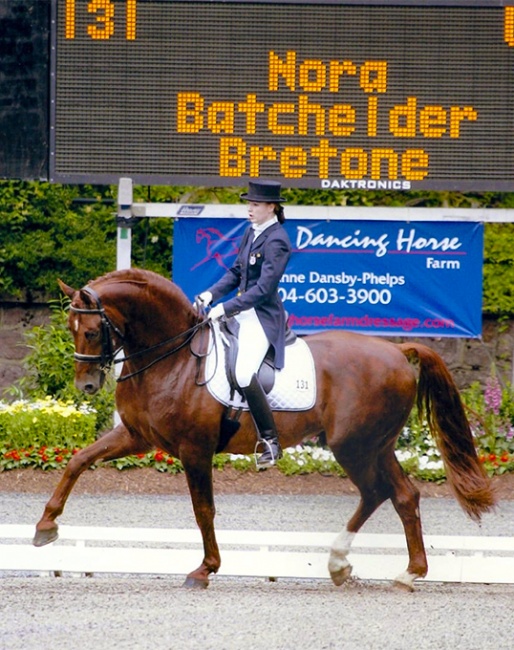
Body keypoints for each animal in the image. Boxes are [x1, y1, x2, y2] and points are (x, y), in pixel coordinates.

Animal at [31, 268, 492, 588]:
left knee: (377, 492)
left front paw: (205, 569)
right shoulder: (137, 436)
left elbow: (203, 510)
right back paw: (404, 573)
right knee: (403, 495)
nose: (87, 387)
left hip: (354, 446)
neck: (172, 357)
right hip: (377, 445)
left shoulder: (194, 449)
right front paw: (45, 527)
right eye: (71, 328)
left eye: (93, 331)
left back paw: (343, 562)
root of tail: (396, 350)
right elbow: (78, 461)